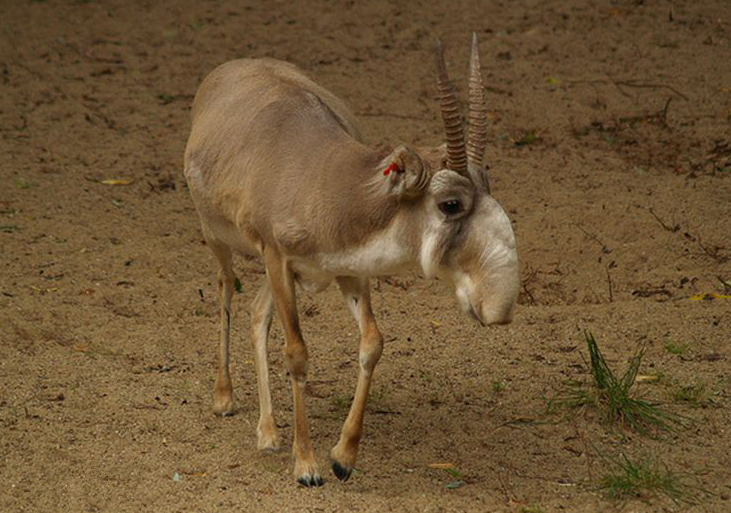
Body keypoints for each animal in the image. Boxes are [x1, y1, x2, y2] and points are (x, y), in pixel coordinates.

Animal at [184, 35, 520, 484]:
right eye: (450, 203)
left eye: (490, 185)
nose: (498, 307)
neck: (326, 185)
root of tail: (229, 70)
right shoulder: (278, 259)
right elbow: (297, 353)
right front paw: (306, 465)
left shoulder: (348, 272)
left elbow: (372, 343)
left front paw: (343, 458)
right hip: (218, 238)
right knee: (225, 290)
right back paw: (224, 398)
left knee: (257, 311)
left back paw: (268, 433)